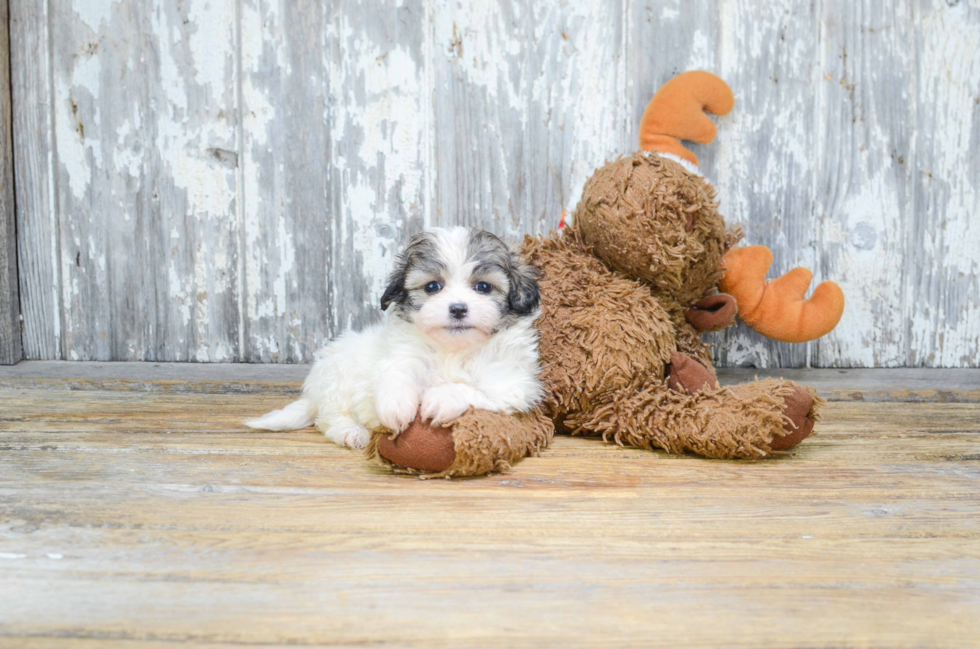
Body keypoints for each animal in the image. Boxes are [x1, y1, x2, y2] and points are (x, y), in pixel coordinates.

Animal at [241, 225, 540, 448]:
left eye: (483, 287)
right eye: (433, 287)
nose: (457, 309)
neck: (453, 350)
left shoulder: (512, 383)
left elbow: (476, 389)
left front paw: (442, 398)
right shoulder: (402, 356)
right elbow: (396, 374)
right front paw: (396, 406)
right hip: (337, 375)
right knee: (329, 417)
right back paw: (351, 432)